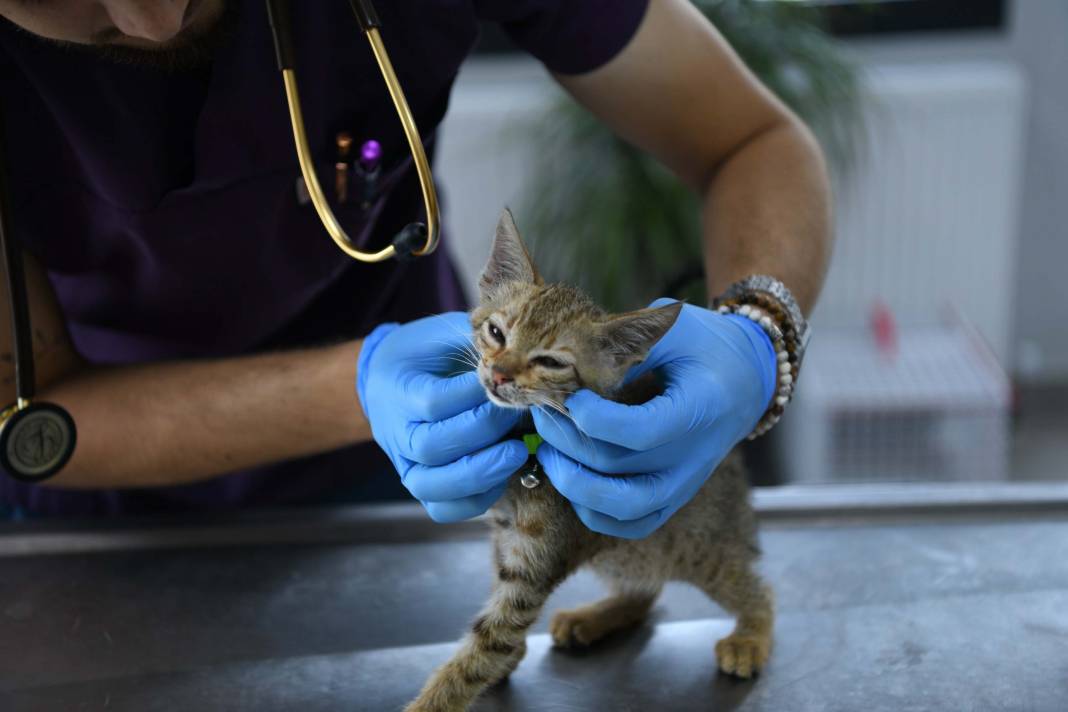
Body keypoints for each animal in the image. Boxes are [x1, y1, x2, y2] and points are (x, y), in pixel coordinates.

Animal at [403, 209, 773, 708]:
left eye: (550, 362)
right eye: (496, 332)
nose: (498, 375)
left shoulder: (533, 565)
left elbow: (483, 646)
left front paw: (436, 698)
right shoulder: (504, 539)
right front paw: (508, 660)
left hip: (695, 546)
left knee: (757, 588)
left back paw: (750, 636)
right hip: (625, 545)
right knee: (645, 590)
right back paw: (596, 617)